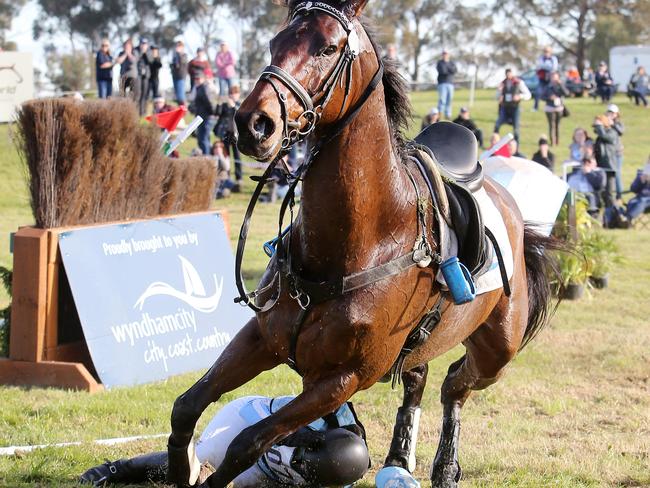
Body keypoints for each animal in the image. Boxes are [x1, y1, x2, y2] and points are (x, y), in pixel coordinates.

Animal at [167, 1, 556, 486]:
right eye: (275, 43)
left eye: (328, 47)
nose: (253, 124)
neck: (357, 244)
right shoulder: (260, 339)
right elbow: (186, 407)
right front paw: (180, 466)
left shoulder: (342, 379)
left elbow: (247, 442)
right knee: (419, 377)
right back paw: (398, 459)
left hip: (497, 352)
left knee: (455, 386)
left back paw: (445, 466)